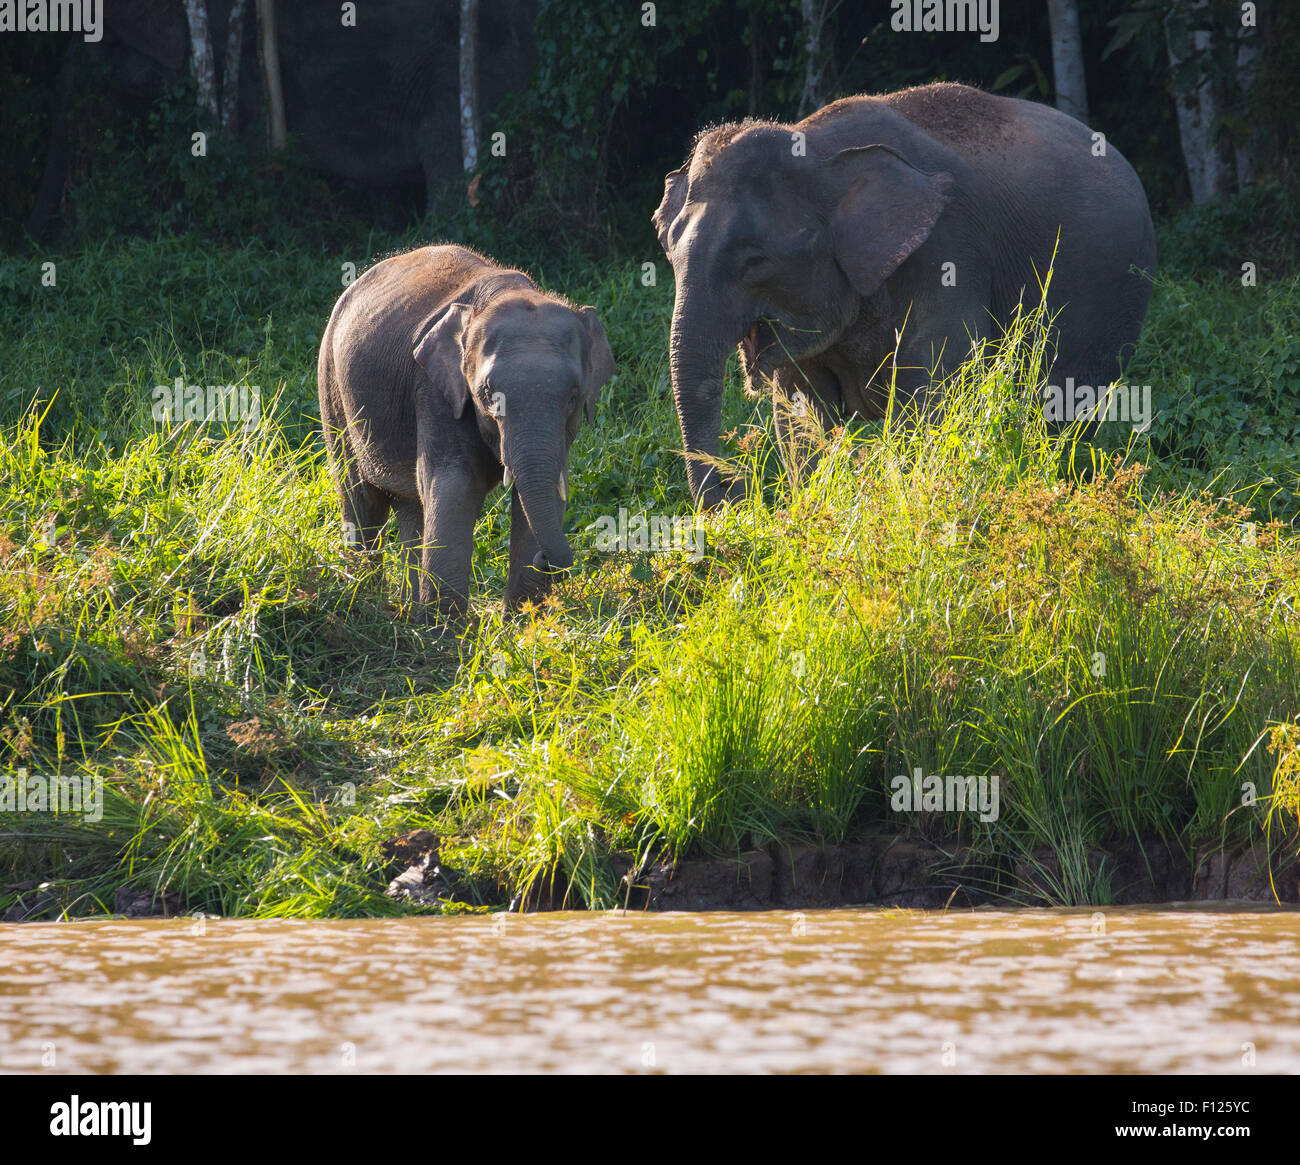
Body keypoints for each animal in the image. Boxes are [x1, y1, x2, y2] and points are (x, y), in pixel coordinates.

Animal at [318, 247, 613, 618]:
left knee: (411, 504)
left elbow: (548, 485)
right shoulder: (437, 390)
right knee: (360, 497)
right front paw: (444, 630)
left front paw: (524, 623)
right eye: (487, 394)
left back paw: (405, 610)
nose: (546, 559)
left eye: (574, 395)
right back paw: (363, 599)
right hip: (332, 387)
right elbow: (454, 483)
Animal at [655, 79, 1154, 501]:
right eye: (668, 248)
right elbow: (799, 409)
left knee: (1064, 409)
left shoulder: (950, 251)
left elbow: (931, 391)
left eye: (754, 259)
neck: (817, 150)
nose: (740, 490)